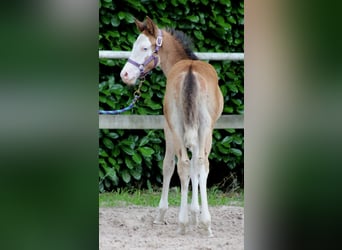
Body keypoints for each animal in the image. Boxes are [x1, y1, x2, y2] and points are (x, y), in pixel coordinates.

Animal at [121, 16, 224, 236]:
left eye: (144, 48)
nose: (124, 75)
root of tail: (190, 72)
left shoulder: (171, 129)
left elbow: (172, 165)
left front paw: (184, 214)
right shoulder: (187, 131)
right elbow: (189, 167)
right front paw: (193, 215)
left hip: (186, 128)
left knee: (190, 164)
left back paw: (192, 223)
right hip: (199, 129)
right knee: (196, 163)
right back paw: (197, 223)